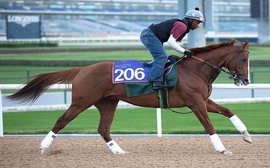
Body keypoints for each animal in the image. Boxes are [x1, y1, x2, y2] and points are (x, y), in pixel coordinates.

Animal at [8, 39, 253, 155]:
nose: (245, 80)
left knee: (103, 128)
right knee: (61, 121)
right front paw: (222, 149)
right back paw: (43, 146)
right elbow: (209, 126)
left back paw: (118, 151)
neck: (196, 69)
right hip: (81, 101)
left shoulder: (203, 100)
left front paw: (247, 135)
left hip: (108, 102)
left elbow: (229, 111)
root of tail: (82, 69)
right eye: (243, 59)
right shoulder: (195, 103)